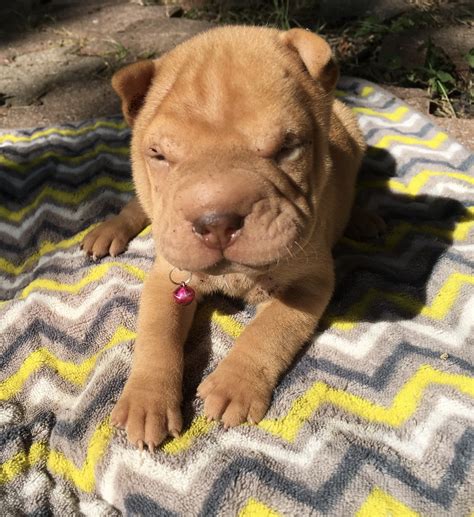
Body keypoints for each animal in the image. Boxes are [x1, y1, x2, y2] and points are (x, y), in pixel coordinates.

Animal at [83, 26, 368, 450]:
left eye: (288, 148)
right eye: (159, 155)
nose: (216, 220)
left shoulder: (311, 282)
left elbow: (270, 331)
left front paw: (235, 386)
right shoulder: (168, 278)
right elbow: (157, 334)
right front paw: (146, 402)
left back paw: (370, 220)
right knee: (138, 206)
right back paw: (107, 230)